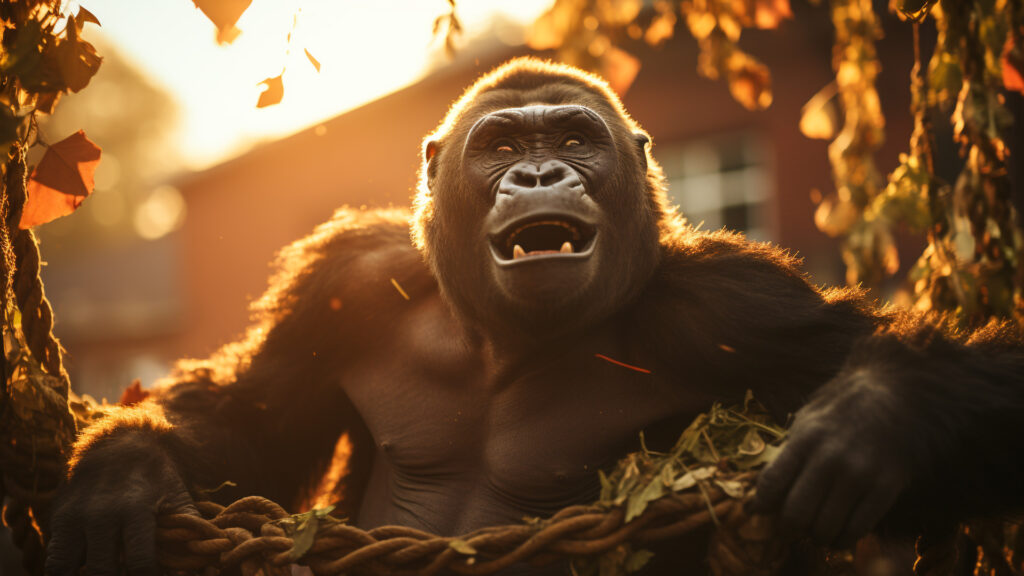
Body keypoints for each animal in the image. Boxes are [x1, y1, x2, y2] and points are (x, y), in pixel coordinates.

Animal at [46, 59, 1024, 573]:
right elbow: (253, 425)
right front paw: (131, 469)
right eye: (504, 146)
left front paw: (879, 417)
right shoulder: (344, 283)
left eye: (575, 141)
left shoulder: (738, 304)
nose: (541, 175)